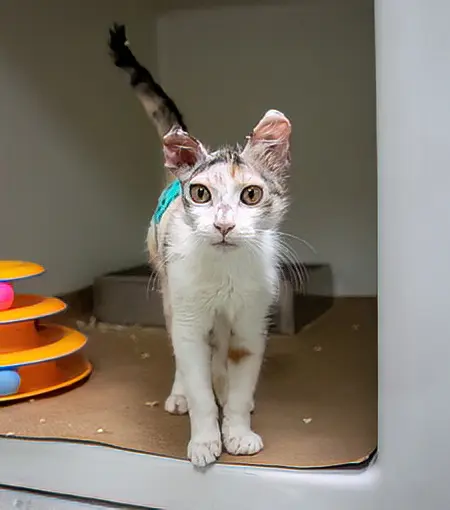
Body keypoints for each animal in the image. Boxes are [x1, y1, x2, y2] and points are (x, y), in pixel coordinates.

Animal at [109, 24, 292, 470]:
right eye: (201, 193)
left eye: (250, 195)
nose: (224, 224)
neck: (225, 272)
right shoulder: (189, 317)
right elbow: (196, 382)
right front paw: (205, 439)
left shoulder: (250, 322)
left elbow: (239, 381)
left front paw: (238, 430)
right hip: (170, 293)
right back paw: (180, 395)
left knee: (220, 349)